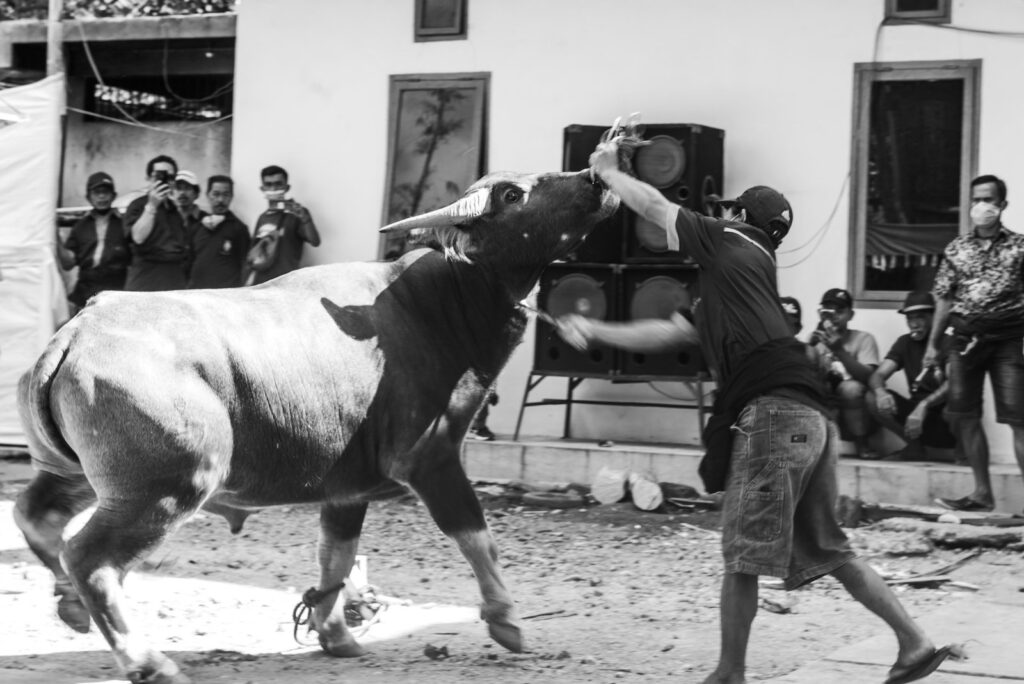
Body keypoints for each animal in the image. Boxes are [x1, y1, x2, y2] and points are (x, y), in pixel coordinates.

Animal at [16, 167, 618, 679]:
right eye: (513, 194)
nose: (596, 177)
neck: (441, 302)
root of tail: (77, 331)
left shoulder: (347, 487)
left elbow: (337, 555)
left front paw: (336, 634)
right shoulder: (432, 457)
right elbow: (475, 536)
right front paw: (506, 620)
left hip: (76, 472)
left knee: (37, 515)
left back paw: (70, 605)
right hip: (169, 487)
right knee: (90, 559)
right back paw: (148, 661)